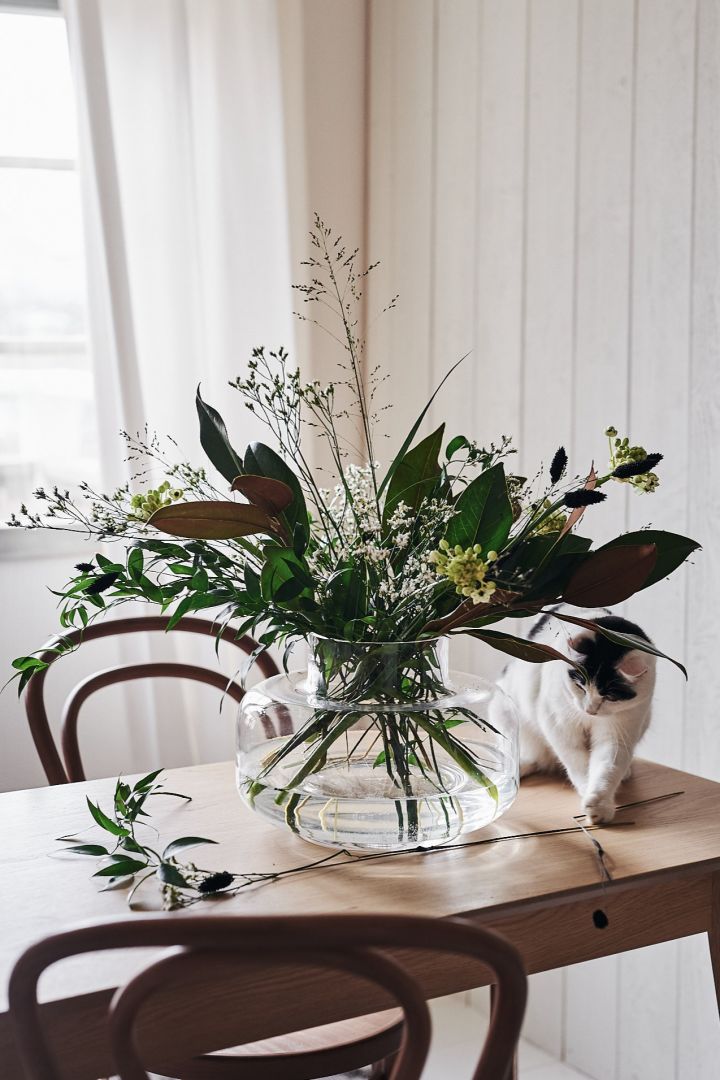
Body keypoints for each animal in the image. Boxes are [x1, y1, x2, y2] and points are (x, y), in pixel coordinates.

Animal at [498, 604, 656, 820]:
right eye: (580, 686)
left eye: (610, 697)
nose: (590, 709)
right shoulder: (558, 724)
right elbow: (576, 762)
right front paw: (585, 787)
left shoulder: (619, 731)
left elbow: (608, 766)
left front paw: (599, 804)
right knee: (533, 757)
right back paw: (515, 770)